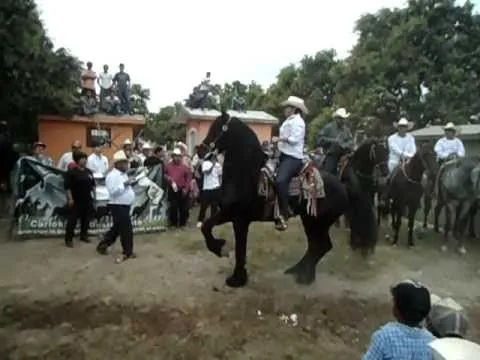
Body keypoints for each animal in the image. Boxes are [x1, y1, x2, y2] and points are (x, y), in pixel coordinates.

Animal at [199, 114, 378, 288]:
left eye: (217, 128)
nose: (201, 151)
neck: (248, 174)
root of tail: (344, 187)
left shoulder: (239, 218)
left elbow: (236, 245)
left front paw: (235, 276)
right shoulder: (230, 214)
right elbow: (207, 227)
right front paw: (221, 250)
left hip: (317, 222)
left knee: (321, 246)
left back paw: (304, 276)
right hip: (310, 220)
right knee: (317, 246)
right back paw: (298, 271)